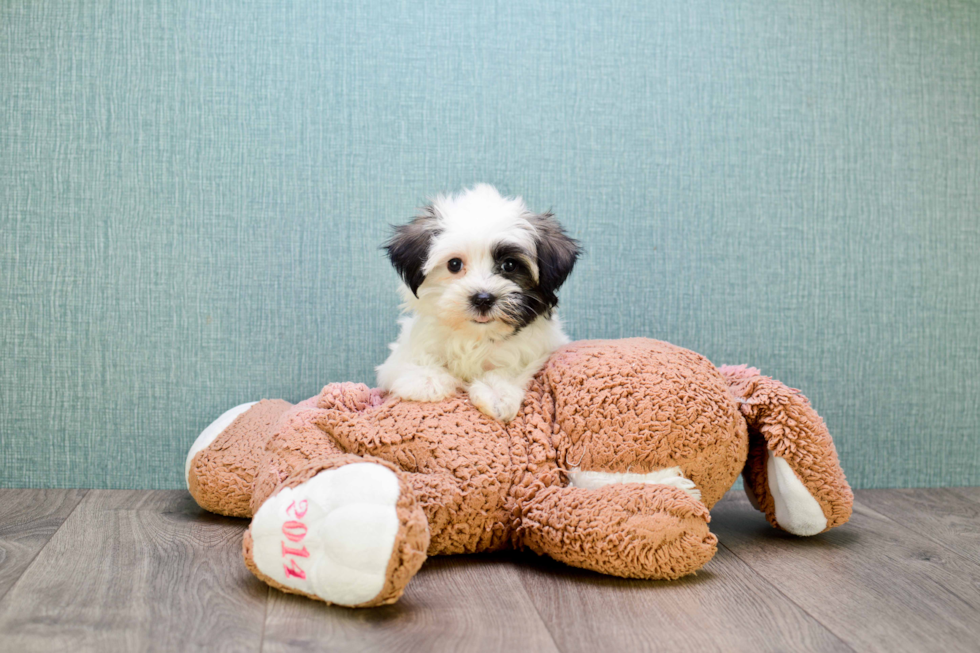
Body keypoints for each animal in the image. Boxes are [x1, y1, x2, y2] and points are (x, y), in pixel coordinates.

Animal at [374, 183, 576, 422]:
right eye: (454, 264)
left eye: (509, 265)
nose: (482, 299)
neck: (475, 336)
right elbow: (412, 360)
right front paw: (426, 379)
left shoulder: (540, 350)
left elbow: (512, 365)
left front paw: (497, 392)